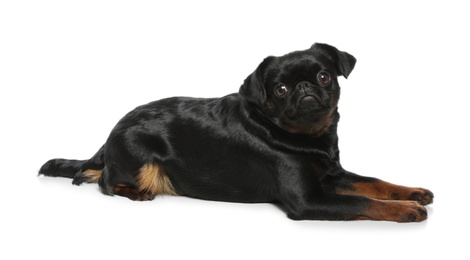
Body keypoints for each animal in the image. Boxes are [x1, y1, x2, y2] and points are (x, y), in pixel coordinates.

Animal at [39, 42, 434, 221]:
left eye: (324, 76)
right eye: (280, 89)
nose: (305, 88)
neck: (309, 138)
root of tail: (108, 137)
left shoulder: (334, 175)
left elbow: (375, 183)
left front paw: (411, 193)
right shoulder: (308, 201)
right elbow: (363, 201)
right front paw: (406, 210)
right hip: (140, 159)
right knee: (102, 180)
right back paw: (134, 192)